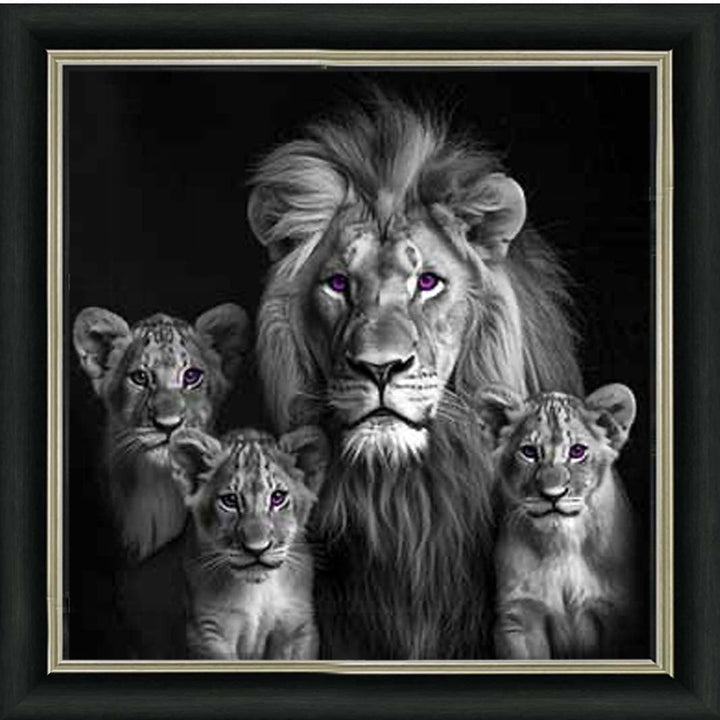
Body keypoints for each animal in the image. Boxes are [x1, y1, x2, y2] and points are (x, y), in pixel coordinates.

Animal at [168, 426, 328, 660]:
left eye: (278, 497)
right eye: (230, 501)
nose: (257, 549)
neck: (257, 590)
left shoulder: (297, 626)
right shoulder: (208, 633)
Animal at [475, 383, 636, 659]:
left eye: (577, 451)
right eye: (529, 452)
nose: (553, 495)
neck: (562, 543)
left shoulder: (617, 614)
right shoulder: (520, 617)